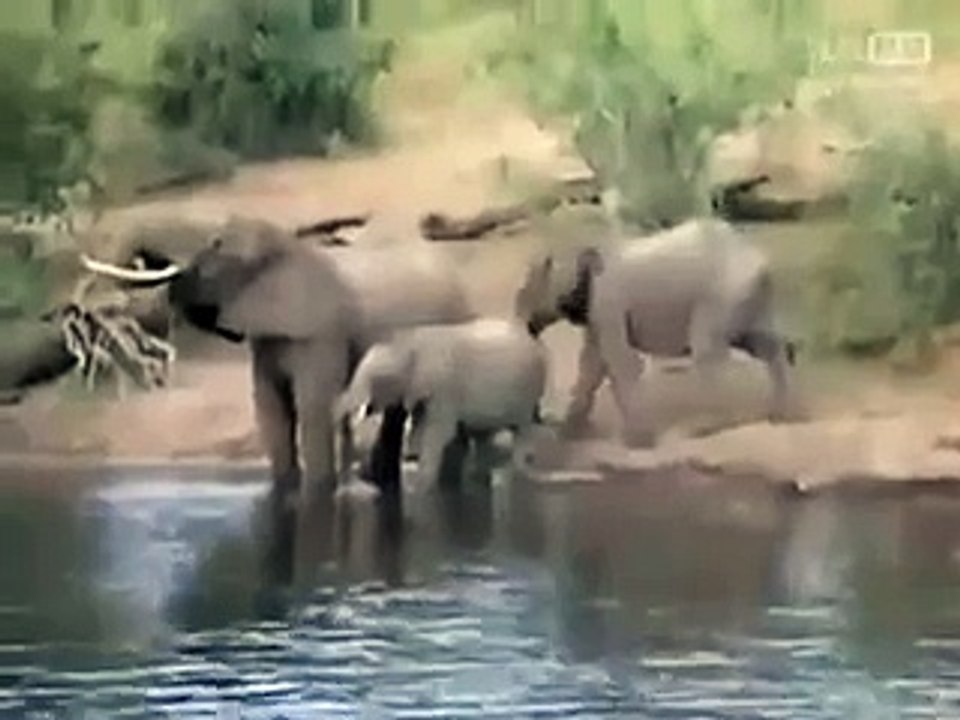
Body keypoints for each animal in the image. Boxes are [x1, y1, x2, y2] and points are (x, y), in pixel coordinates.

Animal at [80, 215, 475, 503]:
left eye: (218, 247)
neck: (286, 248)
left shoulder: (320, 330)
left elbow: (311, 404)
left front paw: (317, 495)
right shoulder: (269, 335)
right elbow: (270, 405)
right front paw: (283, 492)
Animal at [336, 318, 547, 489]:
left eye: (379, 379)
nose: (357, 473)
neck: (410, 340)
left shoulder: (444, 387)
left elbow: (439, 431)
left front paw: (418, 483)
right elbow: (420, 423)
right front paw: (410, 459)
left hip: (526, 392)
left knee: (522, 427)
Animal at [514, 217, 796, 447]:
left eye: (530, 286)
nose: (542, 417)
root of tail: (761, 262)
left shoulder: (608, 299)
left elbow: (622, 361)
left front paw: (635, 442)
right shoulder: (597, 311)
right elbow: (591, 364)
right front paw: (569, 434)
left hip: (724, 295)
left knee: (708, 349)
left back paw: (702, 429)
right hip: (747, 299)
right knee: (765, 345)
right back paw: (782, 414)